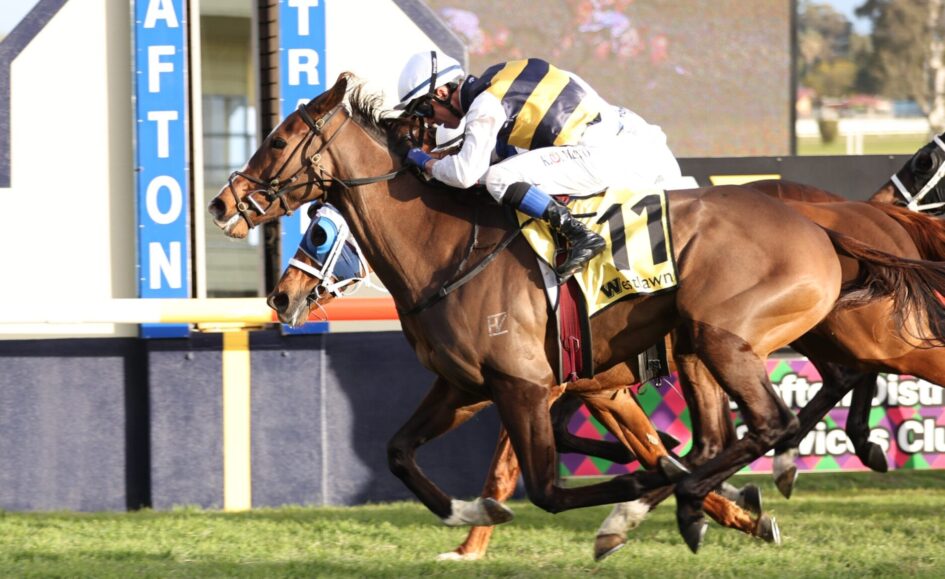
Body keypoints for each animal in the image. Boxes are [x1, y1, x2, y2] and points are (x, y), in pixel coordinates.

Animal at [272, 202, 773, 560]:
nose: (281, 296)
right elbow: (645, 445)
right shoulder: (598, 391)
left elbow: (505, 469)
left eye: (319, 234)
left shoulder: (533, 386)